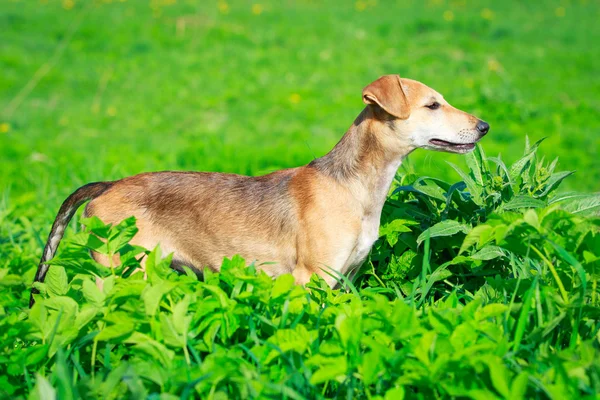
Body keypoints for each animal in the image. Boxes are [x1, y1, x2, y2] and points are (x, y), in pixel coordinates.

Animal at [29, 75, 488, 306]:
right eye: (432, 105)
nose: (484, 127)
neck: (355, 185)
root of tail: (108, 185)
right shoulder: (312, 278)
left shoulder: (346, 279)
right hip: (121, 272)